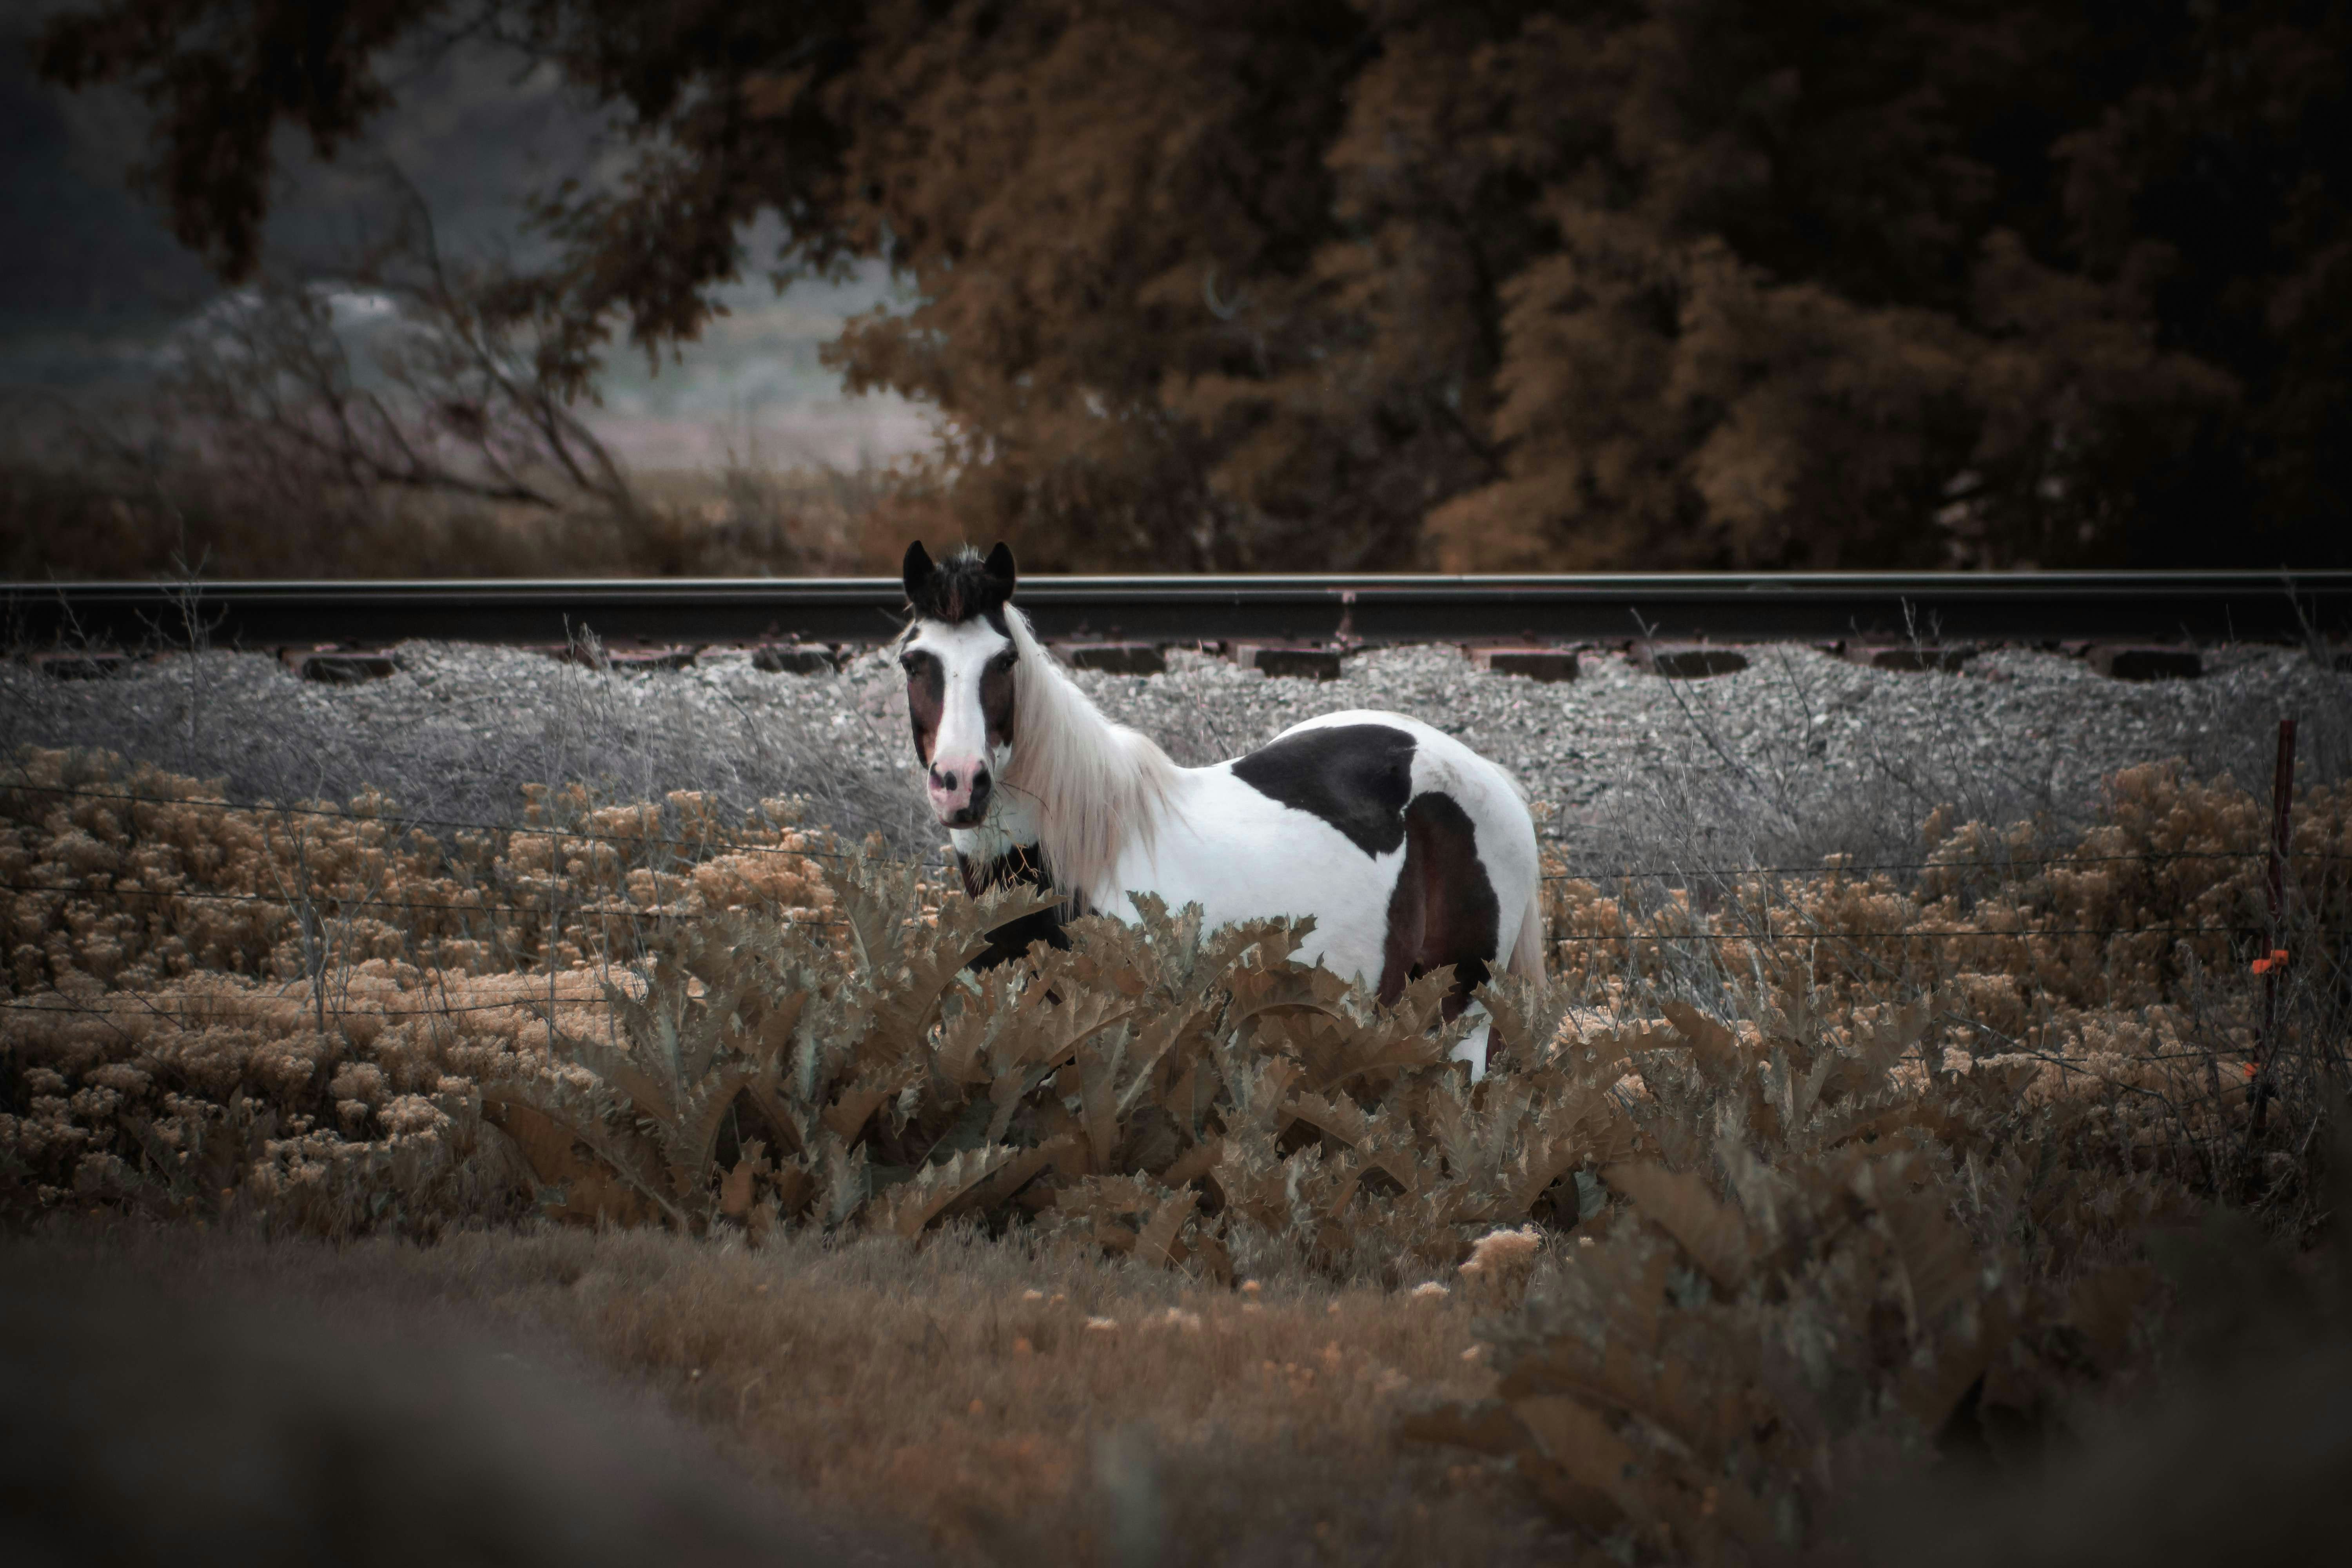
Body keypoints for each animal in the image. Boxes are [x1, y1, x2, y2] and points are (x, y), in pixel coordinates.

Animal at [895, 540, 1545, 1076]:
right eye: (912, 661)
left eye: (1005, 661)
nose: (959, 784)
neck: (1079, 863)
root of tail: (1488, 775)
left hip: (1459, 1009)